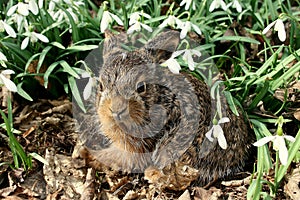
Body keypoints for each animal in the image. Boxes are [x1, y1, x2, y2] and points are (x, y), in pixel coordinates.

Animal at [74, 29, 252, 189]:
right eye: (101, 86)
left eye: (141, 87)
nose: (117, 110)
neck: (158, 98)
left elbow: (115, 158)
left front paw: (85, 154)